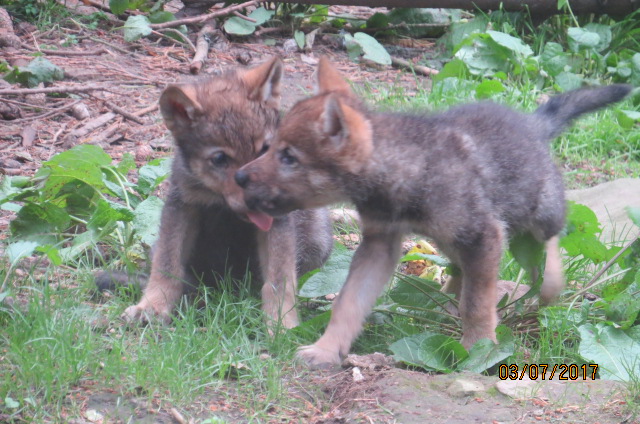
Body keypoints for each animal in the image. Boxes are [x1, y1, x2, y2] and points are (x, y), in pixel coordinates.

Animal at [116, 57, 333, 329]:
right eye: (220, 159)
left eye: (265, 149)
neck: (221, 202)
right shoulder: (182, 205)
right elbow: (167, 267)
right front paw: (152, 307)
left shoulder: (277, 223)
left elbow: (279, 281)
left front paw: (282, 324)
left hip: (317, 239)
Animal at [235, 57, 632, 367]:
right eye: (271, 147)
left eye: (288, 157)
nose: (239, 176)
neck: (403, 168)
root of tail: (534, 122)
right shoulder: (380, 245)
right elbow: (347, 304)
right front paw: (326, 350)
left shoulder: (484, 234)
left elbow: (477, 304)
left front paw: (478, 351)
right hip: (449, 240)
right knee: (462, 270)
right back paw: (448, 299)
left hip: (534, 211)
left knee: (547, 245)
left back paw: (548, 288)